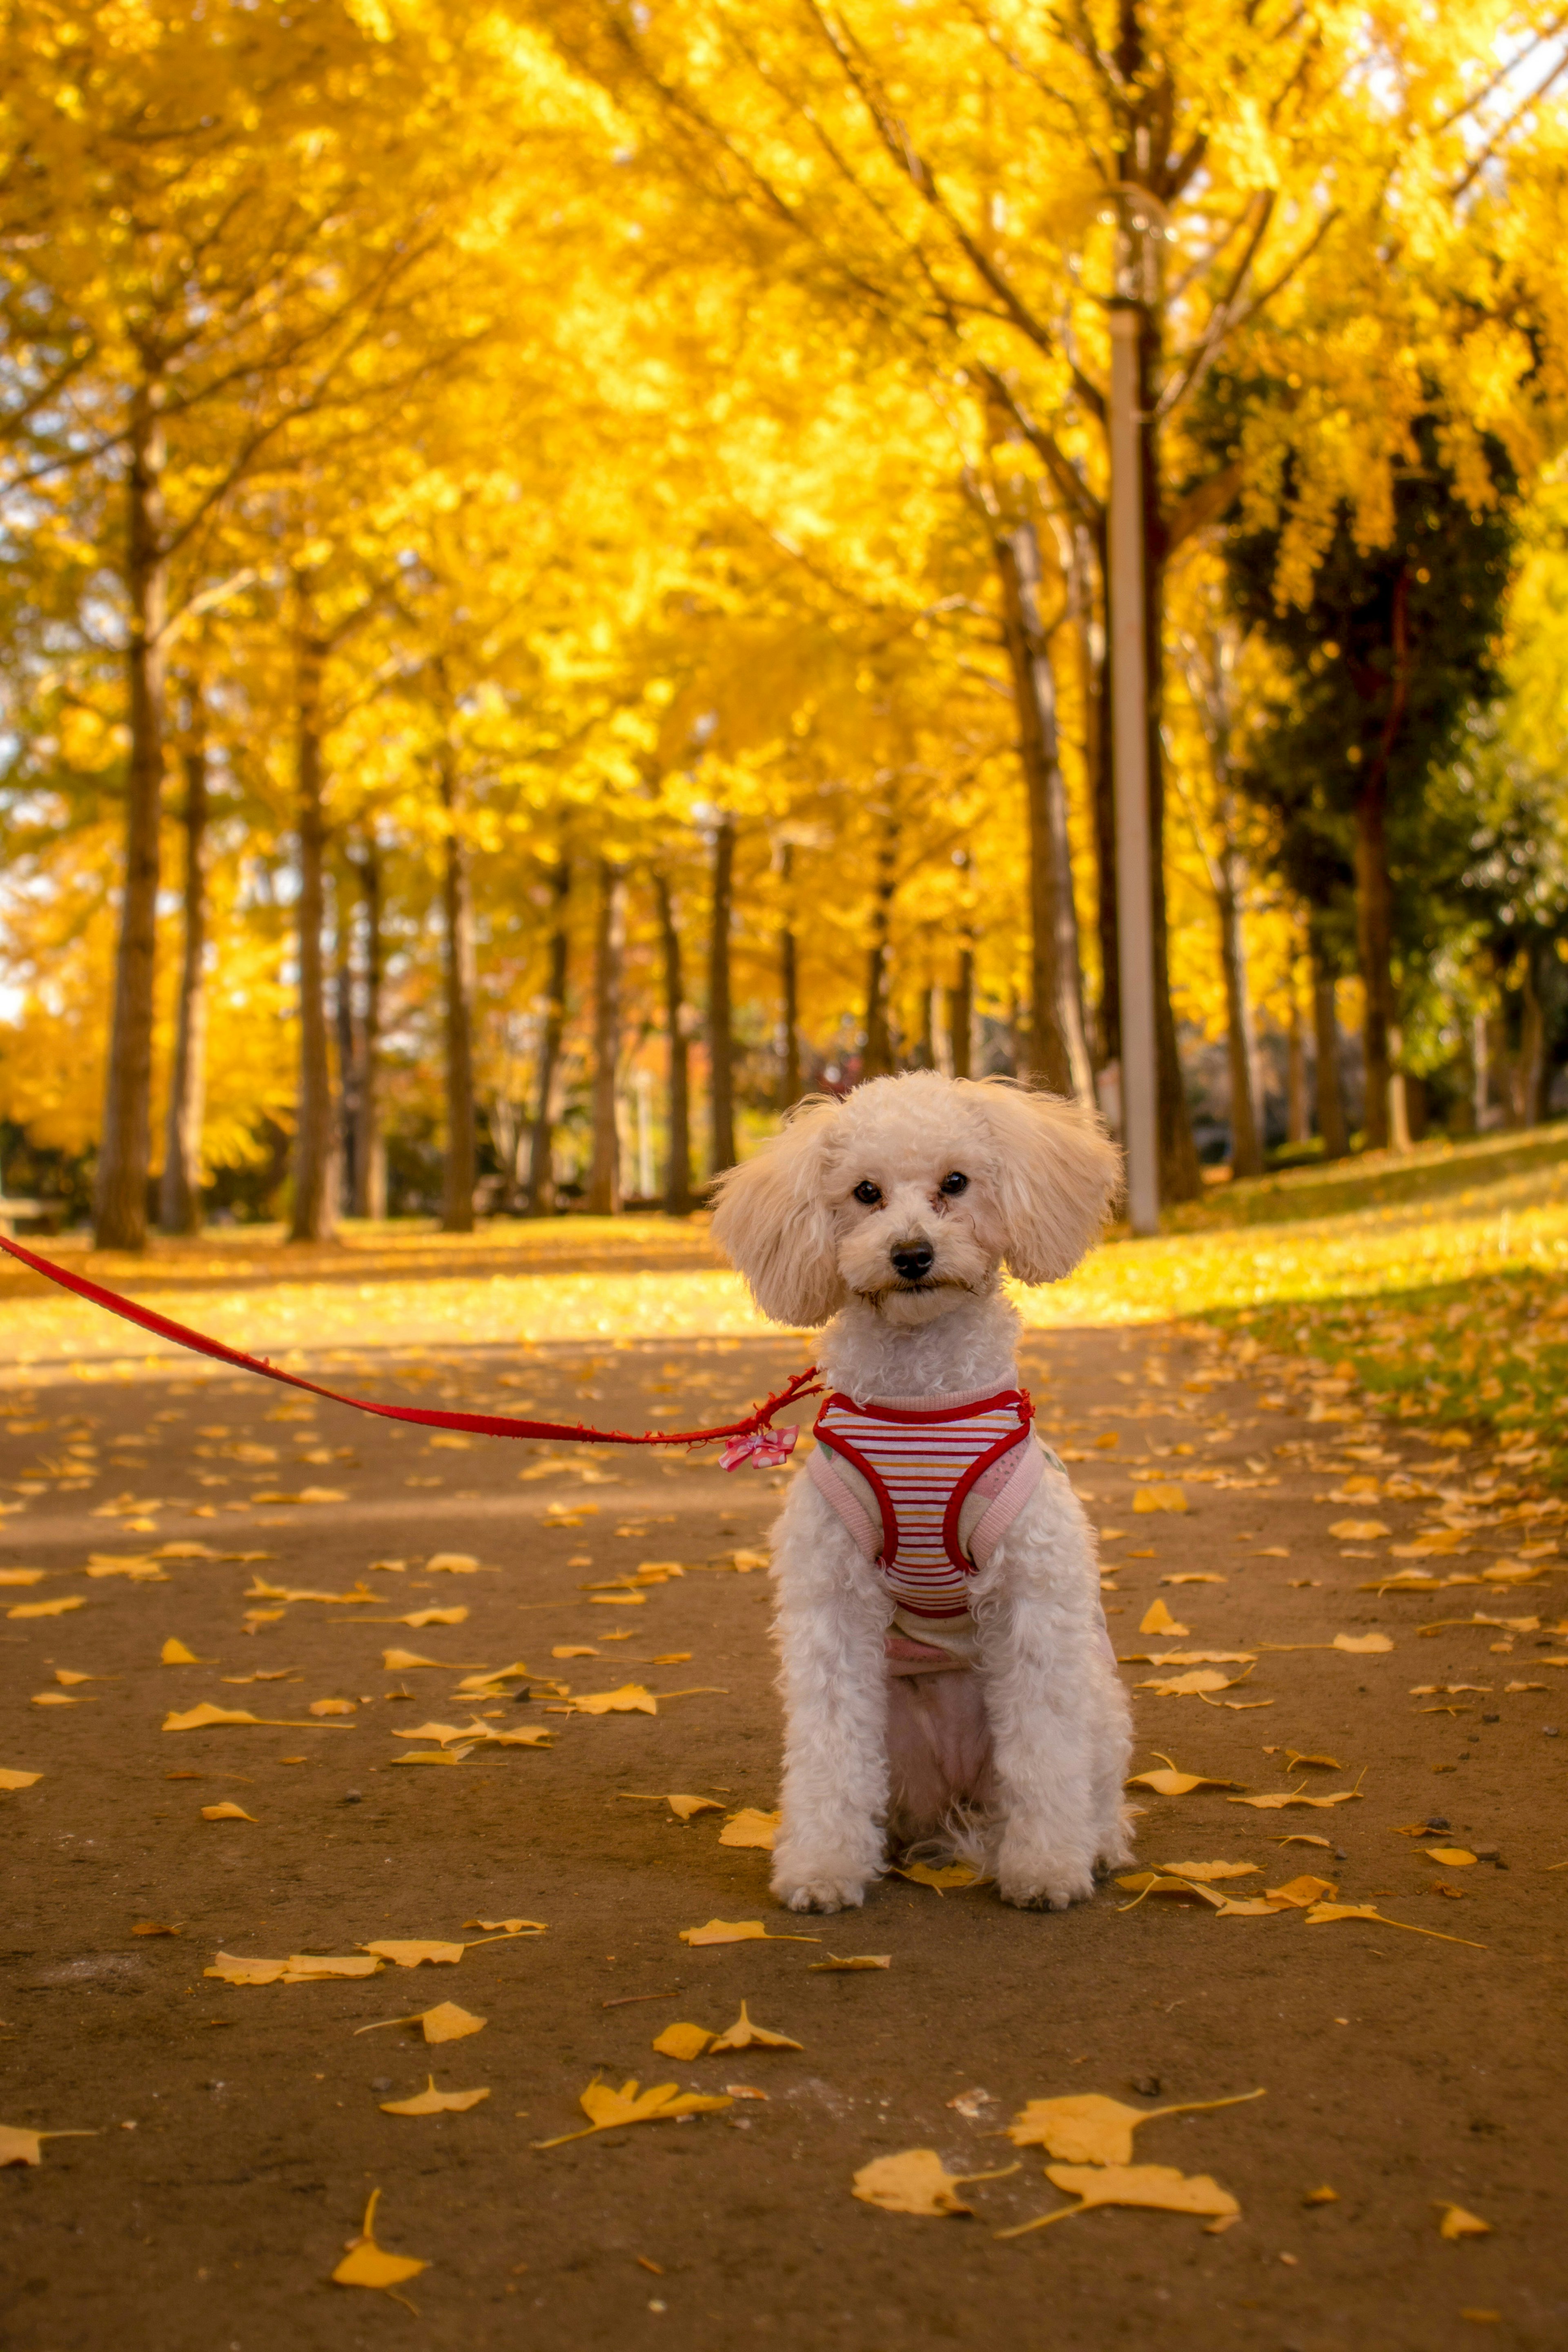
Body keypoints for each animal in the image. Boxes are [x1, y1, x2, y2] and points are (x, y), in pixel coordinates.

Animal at [715, 1077, 1142, 1919]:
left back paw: (1096, 1843)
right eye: (864, 1193)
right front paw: (822, 1866)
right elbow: (829, 1746)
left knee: (1088, 1782)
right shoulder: (832, 1600)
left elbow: (1045, 1749)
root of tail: (955, 1804)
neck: (921, 1402)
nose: (911, 1254)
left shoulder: (1034, 1597)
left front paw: (1046, 1868)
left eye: (957, 1182)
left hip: (1100, 1703)